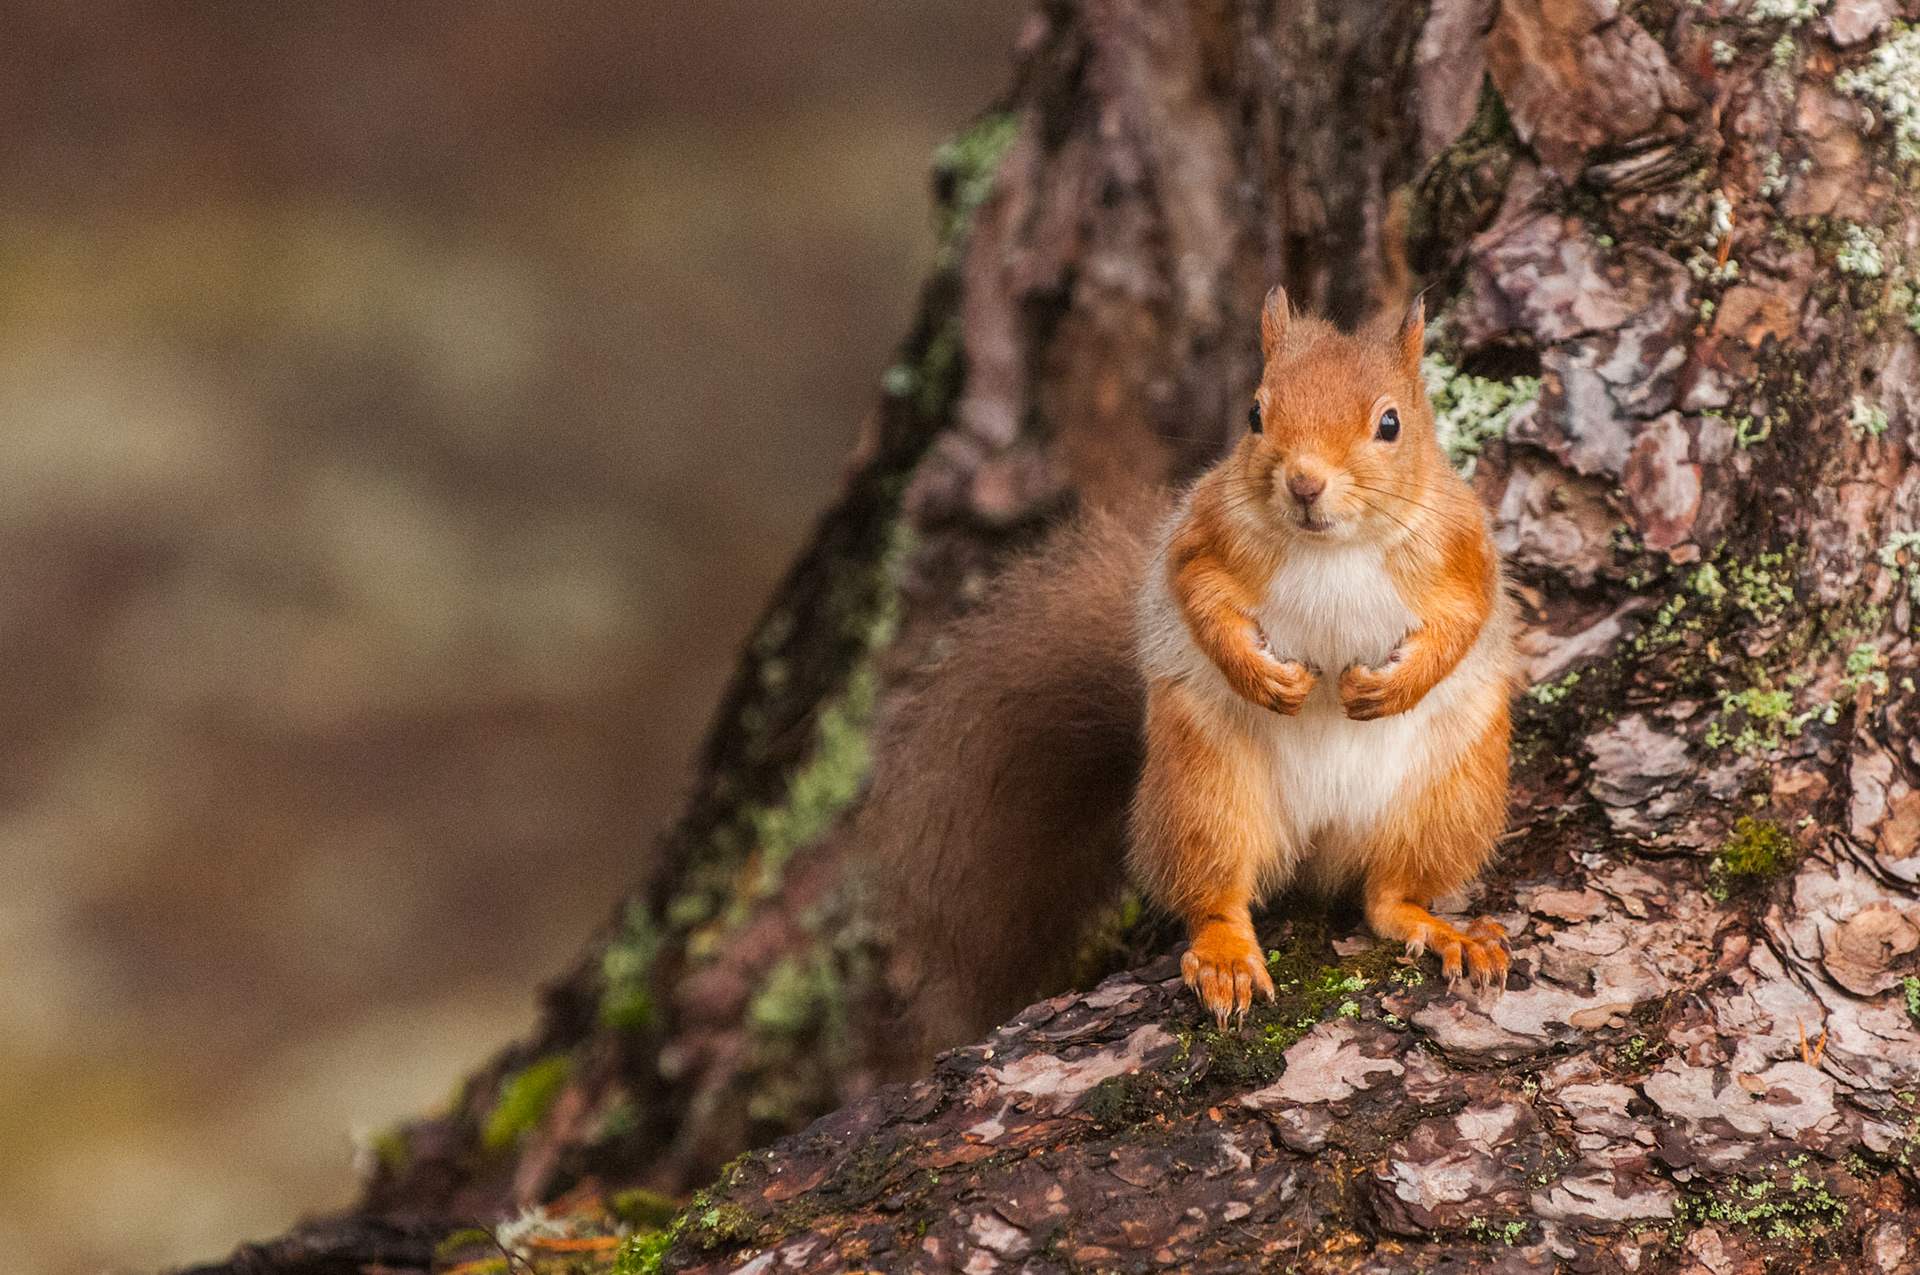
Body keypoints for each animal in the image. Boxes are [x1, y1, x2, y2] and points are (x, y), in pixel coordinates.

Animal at [864, 287, 1519, 1052]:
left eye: (1391, 424)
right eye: (1255, 413)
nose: (1304, 482)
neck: (1331, 546)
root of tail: (1320, 842)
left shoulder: (1464, 547)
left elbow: (1464, 619)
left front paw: (1390, 687)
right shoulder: (1204, 534)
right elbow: (1200, 596)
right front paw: (1264, 677)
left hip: (1448, 797)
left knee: (1389, 900)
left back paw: (1445, 930)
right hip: (1202, 784)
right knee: (1215, 894)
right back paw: (1225, 955)